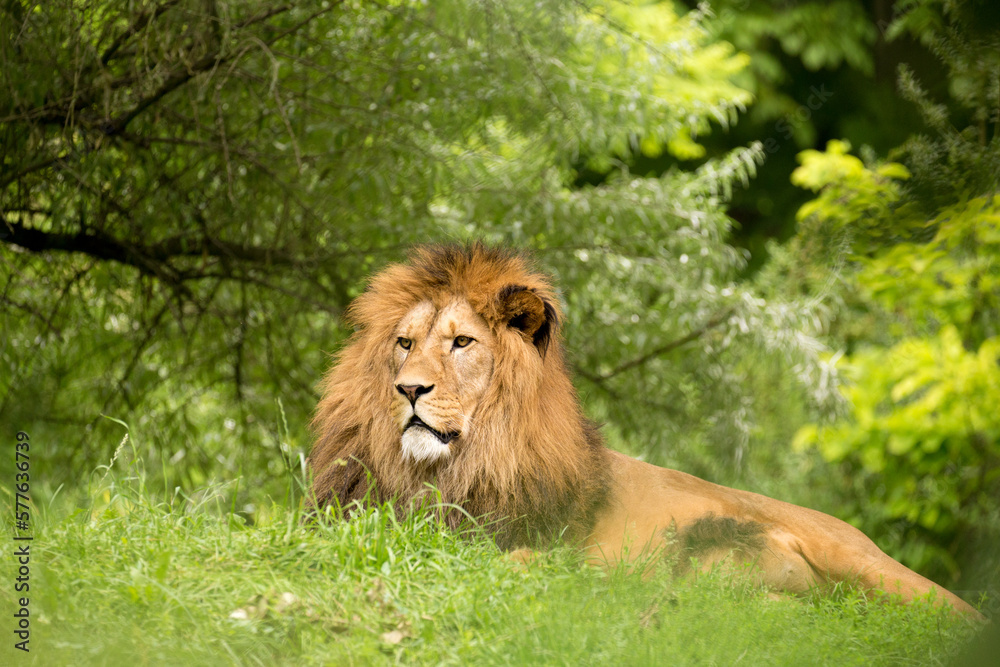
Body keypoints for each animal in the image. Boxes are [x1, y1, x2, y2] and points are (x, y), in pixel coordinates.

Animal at [309, 243, 979, 616]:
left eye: (462, 343)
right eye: (404, 343)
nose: (409, 390)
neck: (450, 467)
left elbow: (520, 559)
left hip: (866, 563)